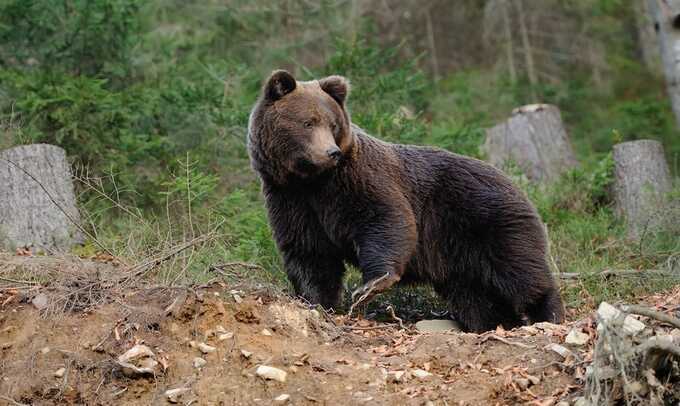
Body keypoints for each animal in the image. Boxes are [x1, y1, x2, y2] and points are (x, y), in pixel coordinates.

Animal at [247, 69, 564, 330]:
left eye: (332, 124)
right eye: (308, 122)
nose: (331, 152)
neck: (312, 180)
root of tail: (517, 184)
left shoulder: (356, 181)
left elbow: (385, 219)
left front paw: (370, 286)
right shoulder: (291, 199)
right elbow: (309, 252)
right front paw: (315, 301)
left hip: (488, 221)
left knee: (520, 272)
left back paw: (547, 314)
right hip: (459, 254)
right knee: (476, 297)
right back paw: (495, 323)